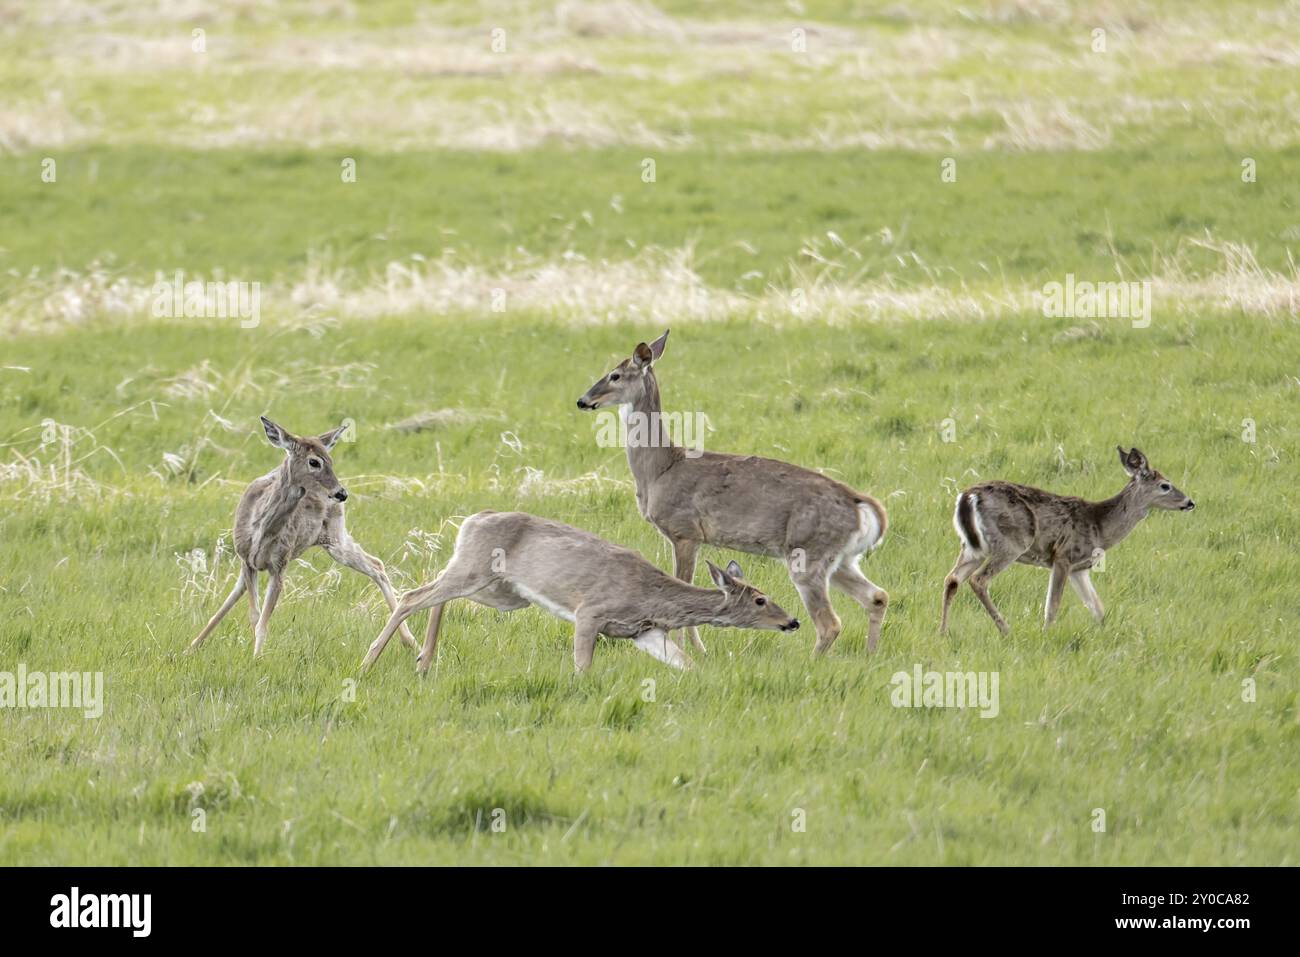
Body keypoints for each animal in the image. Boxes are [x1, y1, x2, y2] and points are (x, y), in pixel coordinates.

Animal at [183, 416, 413, 655]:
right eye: (314, 462)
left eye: (331, 459)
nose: (342, 493)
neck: (262, 530)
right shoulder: (247, 560)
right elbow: (255, 615)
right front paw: (253, 654)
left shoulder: (280, 564)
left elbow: (263, 622)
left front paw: (256, 657)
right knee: (237, 590)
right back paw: (191, 646)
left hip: (335, 536)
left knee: (376, 564)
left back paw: (409, 640)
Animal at [361, 512, 795, 676]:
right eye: (760, 600)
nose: (792, 621)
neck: (653, 598)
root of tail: (470, 520)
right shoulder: (591, 612)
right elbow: (582, 666)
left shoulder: (645, 632)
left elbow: (686, 664)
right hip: (477, 569)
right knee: (414, 596)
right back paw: (369, 664)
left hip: (502, 591)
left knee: (438, 596)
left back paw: (423, 661)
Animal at [574, 330, 889, 657]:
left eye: (615, 375)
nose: (583, 400)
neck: (661, 468)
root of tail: (862, 505)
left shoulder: (685, 532)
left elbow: (682, 587)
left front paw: (694, 650)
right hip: (842, 559)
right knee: (877, 596)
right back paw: (870, 655)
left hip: (808, 554)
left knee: (831, 623)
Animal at [941, 447, 1190, 634]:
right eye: (1165, 485)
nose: (1189, 502)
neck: (1100, 527)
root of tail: (967, 496)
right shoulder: (1063, 556)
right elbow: (1052, 606)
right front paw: (1045, 635)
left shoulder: (1080, 568)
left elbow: (1097, 608)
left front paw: (1107, 634)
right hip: (1011, 543)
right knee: (978, 580)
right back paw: (1005, 630)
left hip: (973, 548)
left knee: (952, 579)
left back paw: (943, 633)